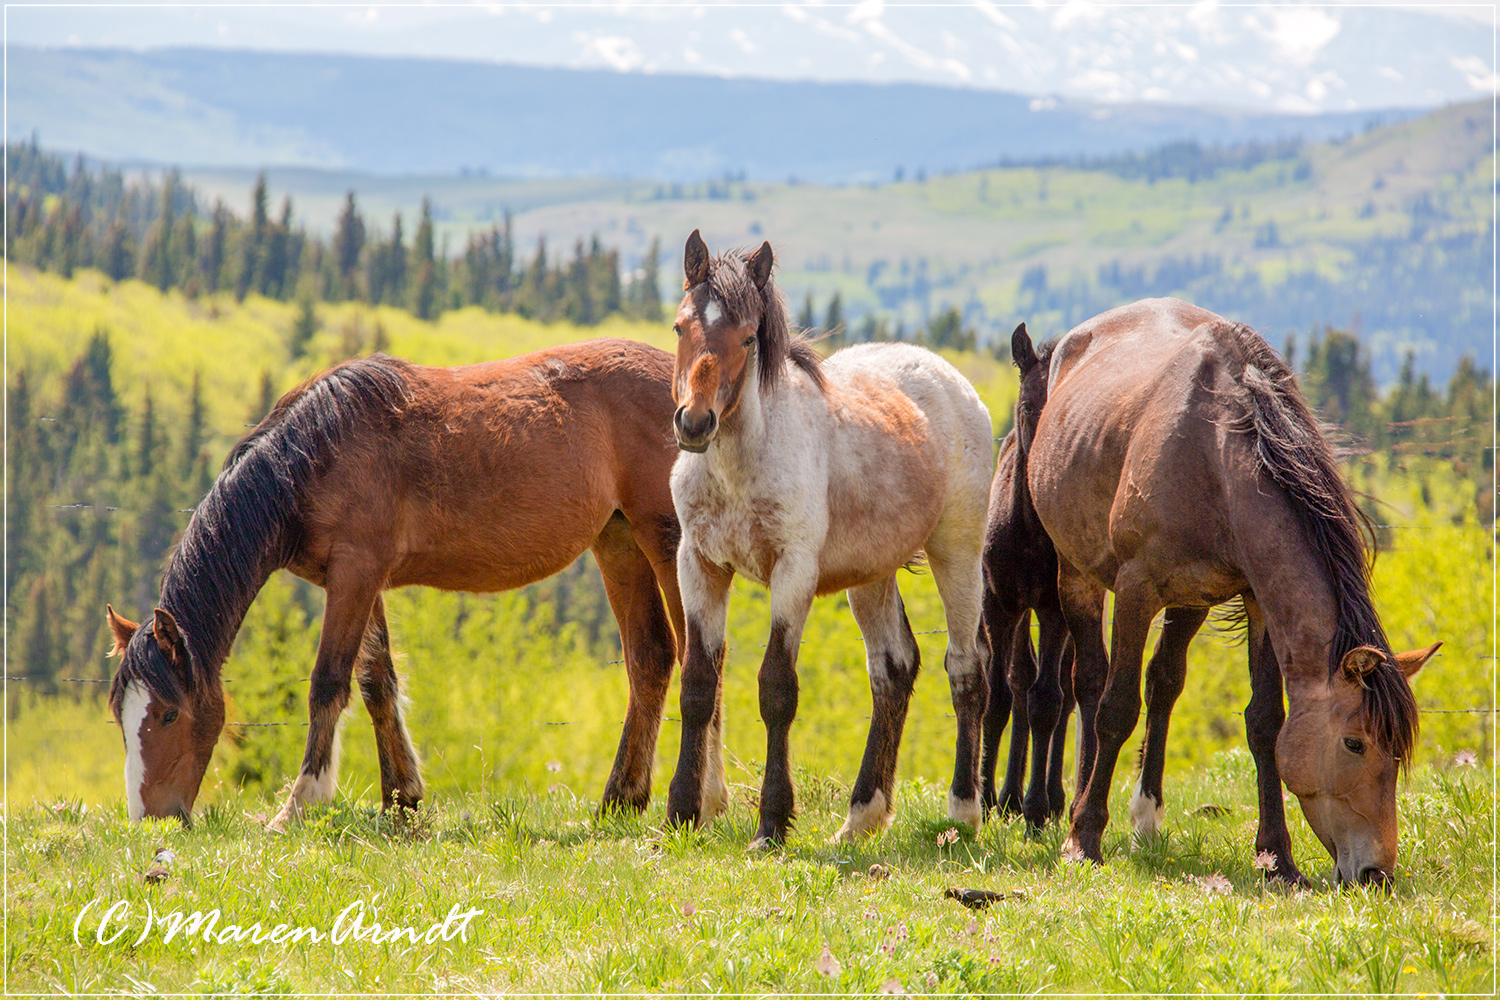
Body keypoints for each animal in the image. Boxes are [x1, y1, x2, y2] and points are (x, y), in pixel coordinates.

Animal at [666, 230, 996, 851]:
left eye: (748, 337)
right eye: (679, 326)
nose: (694, 423)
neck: (741, 466)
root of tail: (958, 382)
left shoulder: (792, 573)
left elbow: (777, 689)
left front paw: (771, 824)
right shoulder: (699, 565)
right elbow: (698, 683)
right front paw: (680, 813)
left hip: (958, 554)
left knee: (967, 668)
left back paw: (963, 813)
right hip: (871, 575)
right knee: (893, 669)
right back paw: (862, 817)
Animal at [1032, 296, 1428, 881]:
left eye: (1397, 752)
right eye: (1355, 743)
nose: (1376, 873)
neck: (1212, 452)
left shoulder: (1258, 597)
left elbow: (1265, 723)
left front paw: (1278, 857)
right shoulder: (1135, 589)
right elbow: (1116, 709)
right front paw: (1084, 837)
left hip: (1189, 600)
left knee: (1164, 683)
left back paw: (1146, 819)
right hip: (1076, 571)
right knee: (1092, 683)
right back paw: (1080, 808)